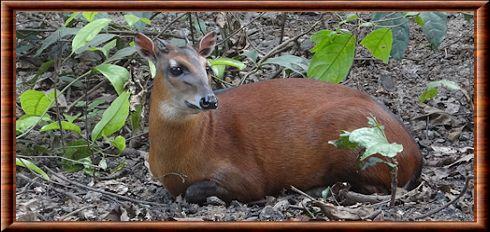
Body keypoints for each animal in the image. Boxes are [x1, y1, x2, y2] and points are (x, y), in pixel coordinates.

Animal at [136, 31, 424, 204]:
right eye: (176, 68)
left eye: (207, 67)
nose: (209, 100)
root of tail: (415, 155)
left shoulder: (248, 179)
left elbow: (193, 191)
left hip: (357, 144)